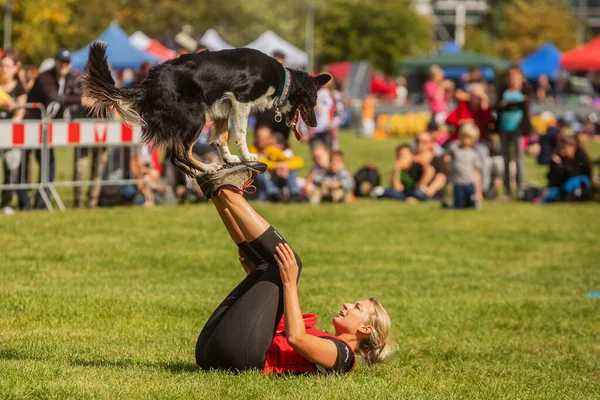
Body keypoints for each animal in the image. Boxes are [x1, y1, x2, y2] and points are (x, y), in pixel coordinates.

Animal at [81, 41, 330, 177]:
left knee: (175, 157)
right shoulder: (242, 99)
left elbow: (222, 137)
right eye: (314, 102)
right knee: (181, 152)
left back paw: (200, 170)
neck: (282, 80)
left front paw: (230, 158)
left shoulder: (223, 106)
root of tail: (148, 83)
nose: (316, 124)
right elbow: (240, 133)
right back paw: (207, 167)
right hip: (195, 116)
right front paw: (247, 154)